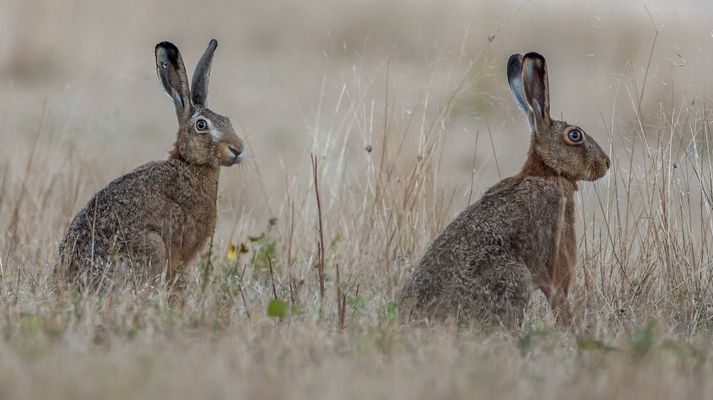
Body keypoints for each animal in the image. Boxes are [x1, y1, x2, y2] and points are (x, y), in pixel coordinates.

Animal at [398, 52, 610, 329]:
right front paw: (570, 329)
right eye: (575, 135)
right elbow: (559, 299)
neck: (548, 171)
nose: (606, 163)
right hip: (515, 276)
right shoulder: (557, 264)